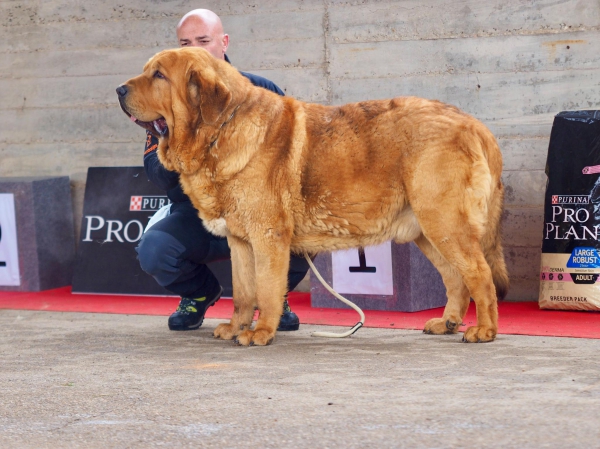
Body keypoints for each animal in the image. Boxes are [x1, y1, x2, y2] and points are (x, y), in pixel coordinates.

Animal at [118, 47, 510, 344]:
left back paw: (485, 330)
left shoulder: (268, 237)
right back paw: (448, 322)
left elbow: (266, 289)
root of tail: (474, 124)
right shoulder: (240, 242)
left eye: (159, 76)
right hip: (428, 230)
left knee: (480, 275)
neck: (219, 131)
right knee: (455, 278)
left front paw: (261, 332)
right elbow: (243, 292)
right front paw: (235, 327)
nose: (119, 89)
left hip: (444, 222)